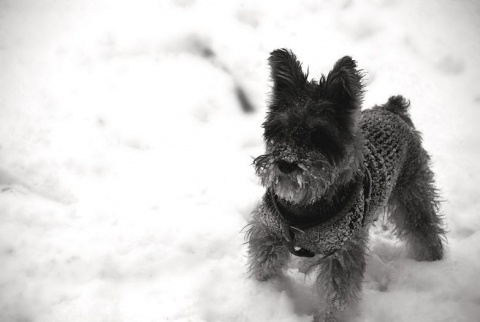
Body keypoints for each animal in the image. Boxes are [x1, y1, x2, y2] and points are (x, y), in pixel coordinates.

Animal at [246, 49, 444, 320]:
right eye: (281, 129)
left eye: (319, 135)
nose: (286, 163)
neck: (304, 205)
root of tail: (393, 109)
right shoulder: (269, 233)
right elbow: (264, 265)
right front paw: (265, 291)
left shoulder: (341, 253)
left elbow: (336, 296)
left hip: (413, 196)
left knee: (425, 231)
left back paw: (434, 262)